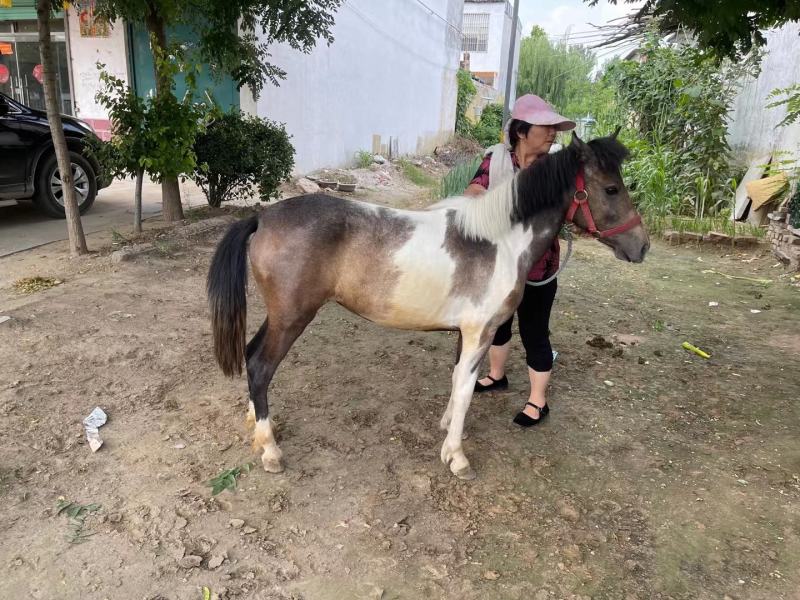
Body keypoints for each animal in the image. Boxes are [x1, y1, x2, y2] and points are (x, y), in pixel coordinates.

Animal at [207, 132, 649, 480]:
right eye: (611, 188)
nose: (642, 246)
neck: (497, 242)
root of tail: (262, 218)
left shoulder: (466, 334)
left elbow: (457, 381)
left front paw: (448, 427)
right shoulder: (480, 332)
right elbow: (467, 389)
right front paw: (456, 457)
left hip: (279, 316)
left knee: (250, 355)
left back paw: (256, 424)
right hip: (291, 318)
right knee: (260, 367)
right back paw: (270, 450)